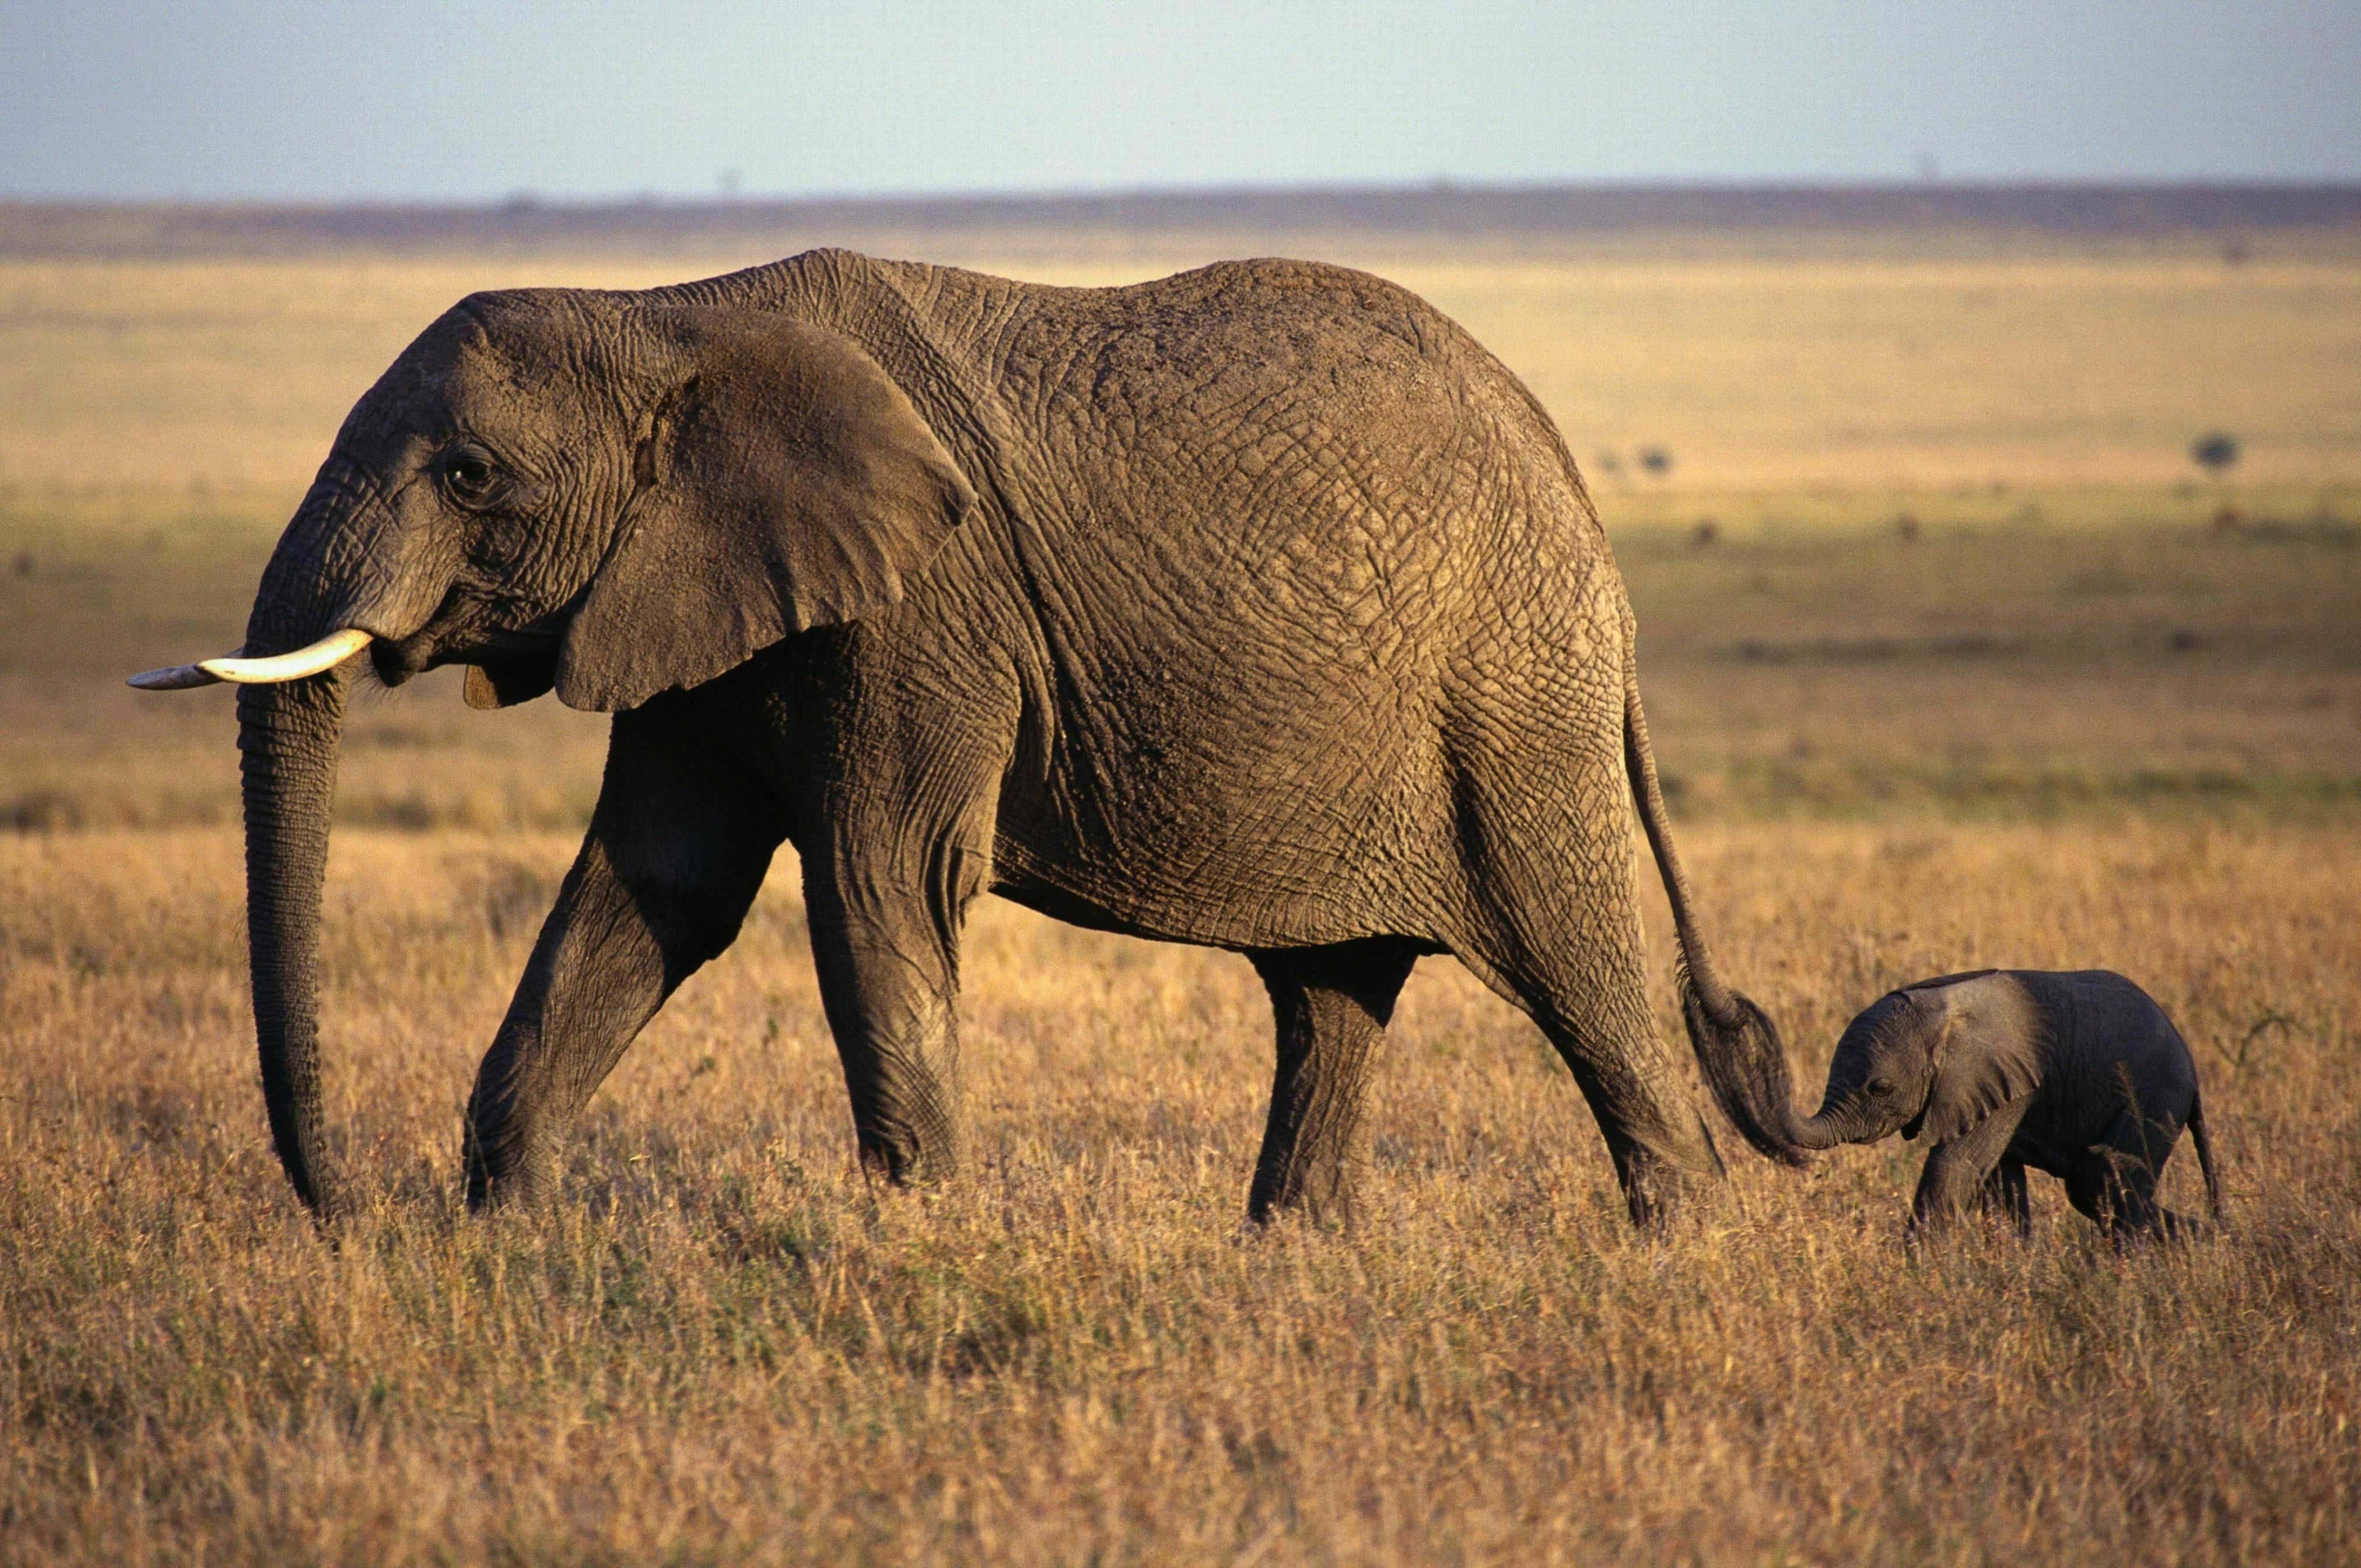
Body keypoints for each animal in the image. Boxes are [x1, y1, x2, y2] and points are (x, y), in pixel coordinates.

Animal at [134, 248, 1803, 1227]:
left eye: (471, 475)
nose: (351, 1210)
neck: (666, 310)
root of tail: (1570, 480)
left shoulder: (923, 608)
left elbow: (876, 883)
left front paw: (917, 1245)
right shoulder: (692, 599)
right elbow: (653, 892)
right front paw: (512, 1245)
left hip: (1511, 702)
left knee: (1574, 963)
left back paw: (1678, 1254)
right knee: (1330, 994)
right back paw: (1291, 1257)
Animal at [1794, 968, 2219, 1237]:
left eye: (1880, 1088)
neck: (1939, 1012)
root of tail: (2190, 1060)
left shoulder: (1996, 1081)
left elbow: (1954, 1170)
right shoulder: (1995, 1091)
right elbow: (1999, 1182)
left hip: (2153, 1096)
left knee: (2099, 1182)